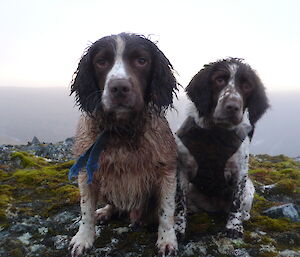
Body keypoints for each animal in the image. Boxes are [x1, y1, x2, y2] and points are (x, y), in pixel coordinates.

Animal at [68, 33, 180, 255]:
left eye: (141, 60)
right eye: (101, 62)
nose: (119, 88)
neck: (122, 130)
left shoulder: (167, 169)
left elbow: (166, 211)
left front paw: (167, 239)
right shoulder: (87, 170)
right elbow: (86, 210)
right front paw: (83, 238)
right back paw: (104, 212)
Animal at [176, 57, 270, 237]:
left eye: (247, 86)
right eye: (219, 80)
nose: (232, 107)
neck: (215, 132)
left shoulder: (240, 172)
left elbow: (236, 203)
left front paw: (234, 227)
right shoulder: (182, 170)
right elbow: (179, 205)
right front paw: (177, 230)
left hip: (249, 189)